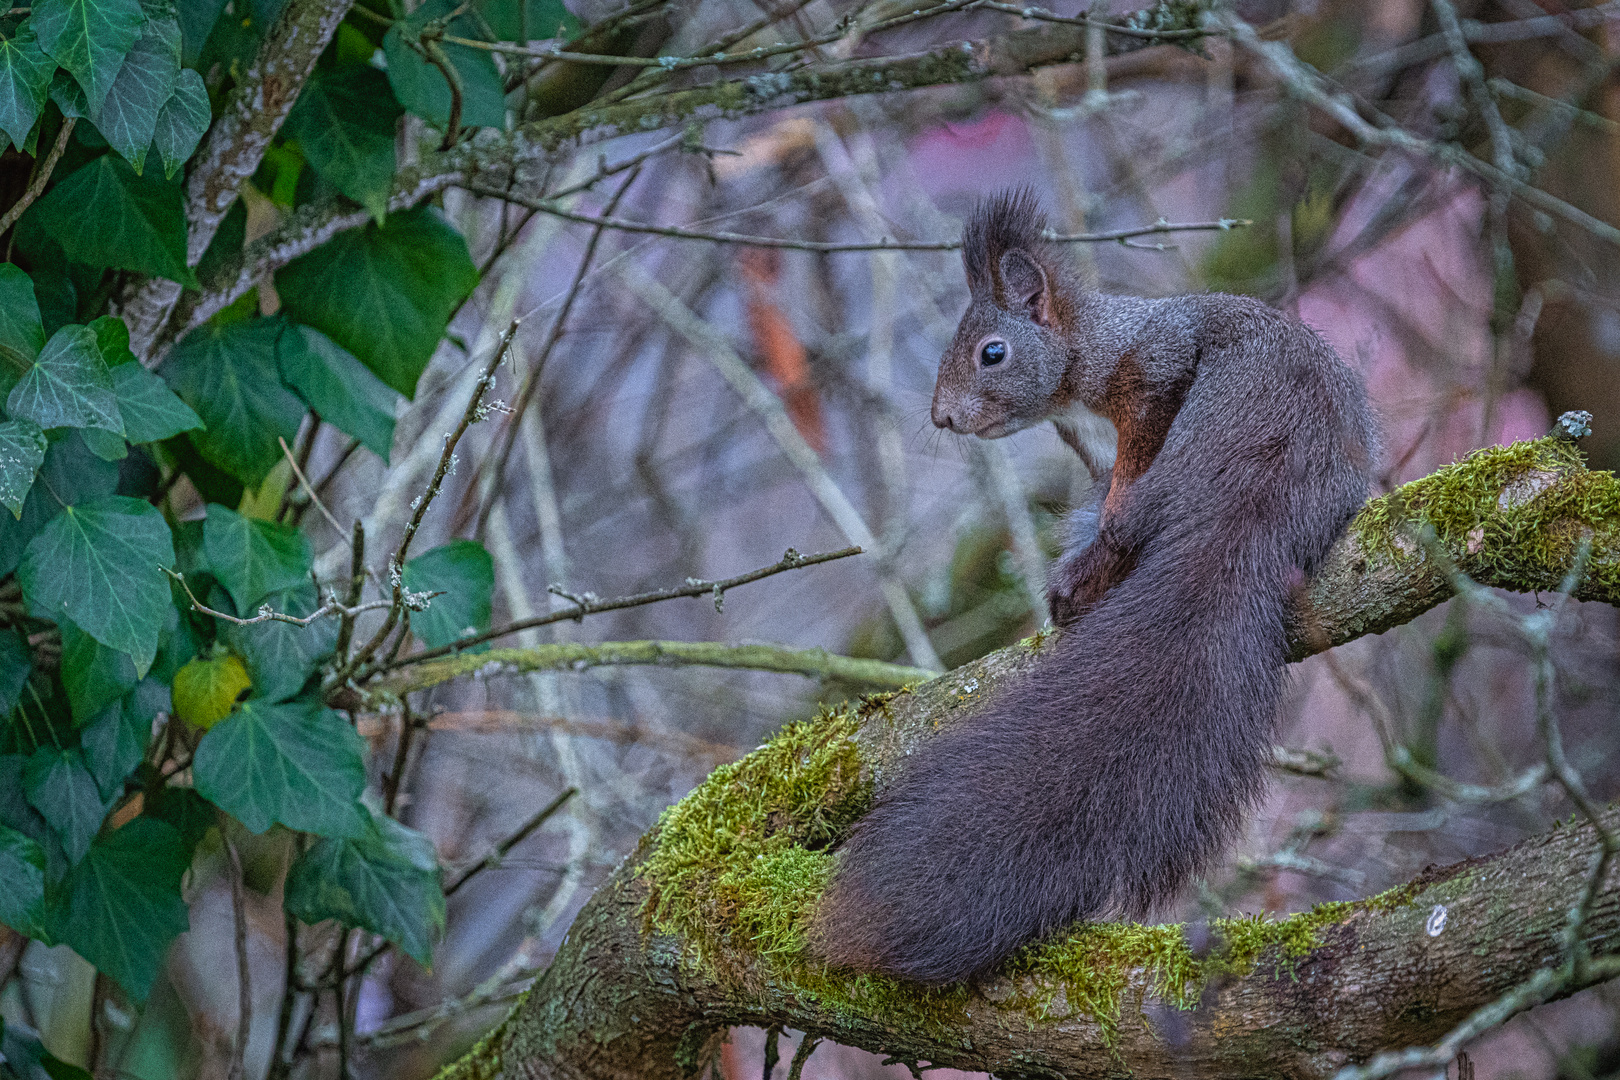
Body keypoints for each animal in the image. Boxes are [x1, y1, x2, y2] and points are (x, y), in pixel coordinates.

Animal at [810, 191, 1380, 990]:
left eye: (992, 352)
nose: (943, 416)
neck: (1090, 352)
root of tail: (1254, 500)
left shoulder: (1154, 369)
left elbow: (1130, 460)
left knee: (1131, 523)